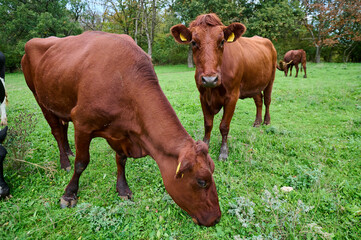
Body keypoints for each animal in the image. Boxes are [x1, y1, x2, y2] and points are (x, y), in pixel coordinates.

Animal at [21, 31, 222, 226]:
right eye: (202, 181)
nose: (216, 218)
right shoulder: (82, 123)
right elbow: (81, 163)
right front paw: (69, 194)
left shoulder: (120, 133)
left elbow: (121, 160)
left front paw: (123, 189)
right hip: (40, 99)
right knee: (57, 131)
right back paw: (65, 162)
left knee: (63, 128)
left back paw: (69, 152)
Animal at [170, 13, 278, 159]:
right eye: (193, 42)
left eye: (222, 41)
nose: (210, 79)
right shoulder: (202, 96)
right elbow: (208, 123)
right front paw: (205, 145)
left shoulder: (232, 96)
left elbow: (224, 126)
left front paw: (223, 151)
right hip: (254, 83)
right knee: (259, 101)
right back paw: (257, 122)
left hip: (270, 79)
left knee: (267, 100)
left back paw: (266, 121)